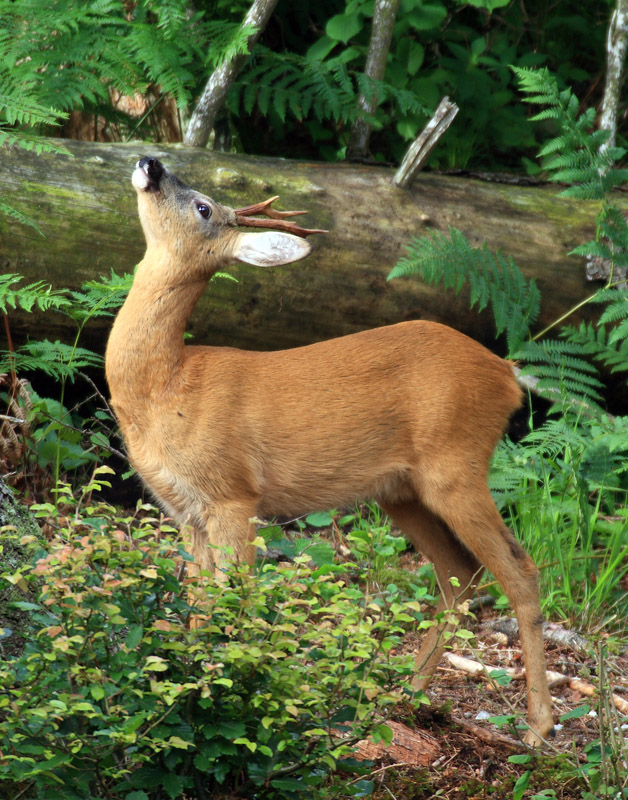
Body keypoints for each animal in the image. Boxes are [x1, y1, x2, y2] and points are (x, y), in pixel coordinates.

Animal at [106, 158, 556, 752]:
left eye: (202, 206)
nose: (151, 164)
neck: (167, 389)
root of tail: (505, 372)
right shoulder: (187, 511)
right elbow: (200, 604)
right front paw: (187, 688)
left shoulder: (234, 494)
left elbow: (235, 596)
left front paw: (225, 696)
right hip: (401, 491)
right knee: (461, 573)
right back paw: (400, 694)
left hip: (455, 465)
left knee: (518, 568)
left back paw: (537, 725)